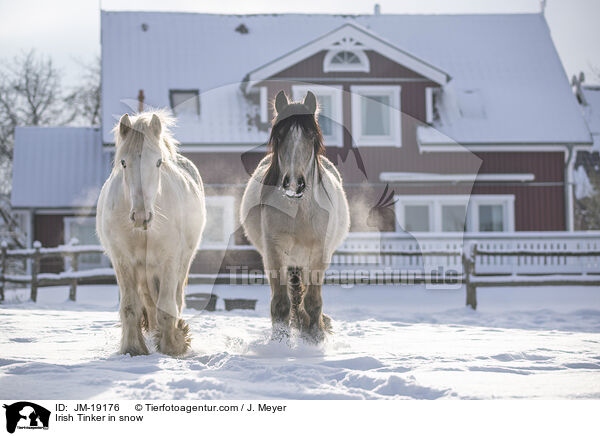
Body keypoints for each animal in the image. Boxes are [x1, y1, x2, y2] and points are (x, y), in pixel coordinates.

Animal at [96, 110, 204, 356]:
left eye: (158, 162)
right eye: (123, 162)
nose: (141, 216)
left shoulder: (169, 260)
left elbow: (167, 307)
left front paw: (173, 344)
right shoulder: (124, 261)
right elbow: (130, 307)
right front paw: (133, 348)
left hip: (182, 262)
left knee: (175, 299)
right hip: (144, 269)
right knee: (148, 302)